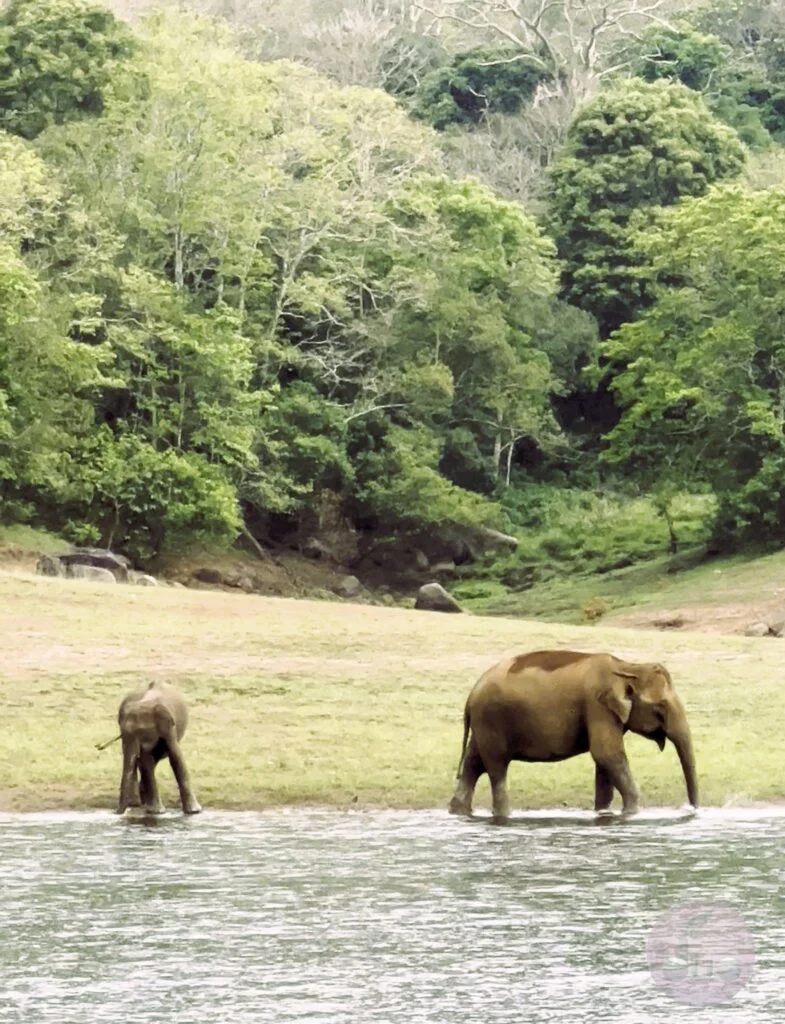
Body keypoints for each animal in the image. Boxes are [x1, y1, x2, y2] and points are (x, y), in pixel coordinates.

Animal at [112, 681, 202, 816]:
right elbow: (146, 761)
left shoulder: (169, 729)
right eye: (121, 734)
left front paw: (194, 811)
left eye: (141, 733)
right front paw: (157, 812)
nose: (116, 813)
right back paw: (137, 802)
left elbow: (176, 757)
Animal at [448, 649, 698, 819]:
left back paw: (459, 812)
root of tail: (471, 695)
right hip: (491, 721)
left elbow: (604, 765)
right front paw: (632, 812)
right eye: (661, 707)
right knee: (496, 769)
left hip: (483, 725)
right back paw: (503, 815)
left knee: (473, 763)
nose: (692, 810)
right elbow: (607, 754)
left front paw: (603, 813)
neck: (628, 667)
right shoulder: (597, 706)